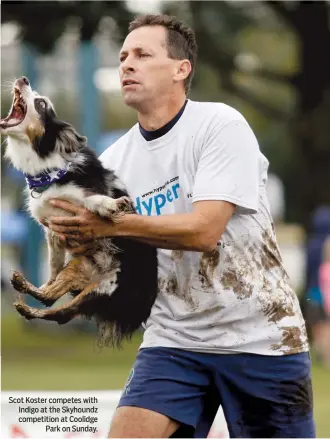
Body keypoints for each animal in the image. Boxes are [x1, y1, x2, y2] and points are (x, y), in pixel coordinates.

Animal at [0, 77, 159, 348]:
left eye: (41, 104)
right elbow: (52, 267)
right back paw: (27, 296)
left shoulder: (85, 198)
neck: (49, 171)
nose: (23, 79)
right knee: (51, 300)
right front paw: (45, 281)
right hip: (77, 267)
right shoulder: (52, 231)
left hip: (104, 289)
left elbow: (96, 201)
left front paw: (111, 205)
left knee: (61, 312)